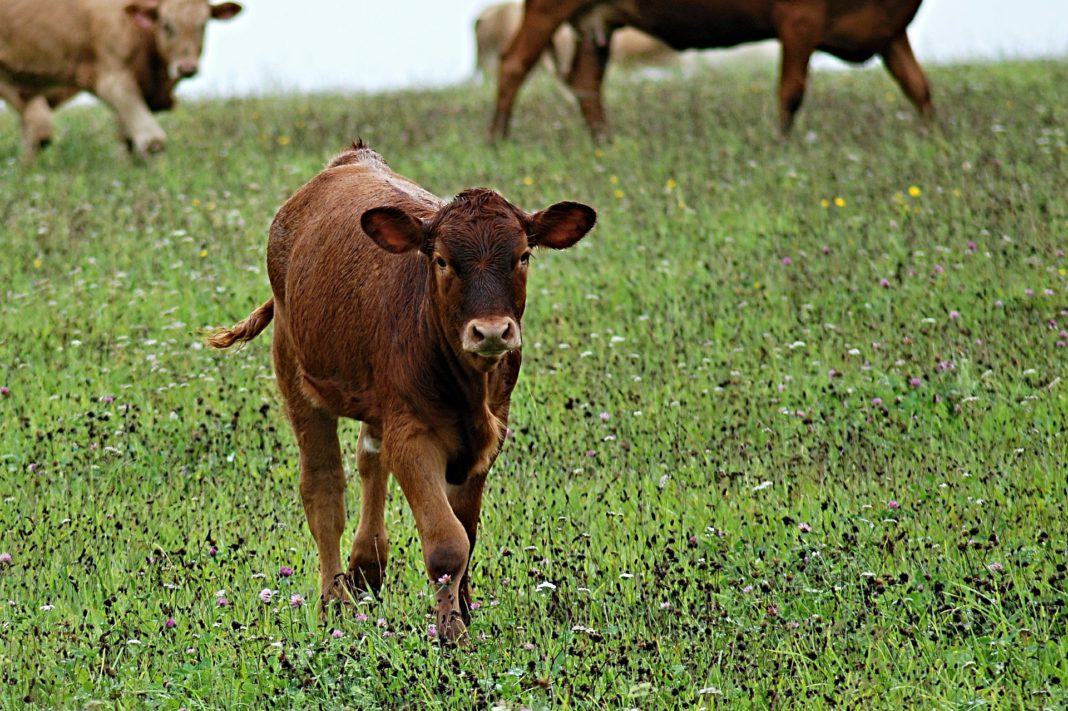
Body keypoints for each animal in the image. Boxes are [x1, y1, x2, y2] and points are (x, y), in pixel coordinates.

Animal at [0, 0, 242, 158]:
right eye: (166, 24)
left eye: (203, 25)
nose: (187, 67)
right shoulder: (113, 80)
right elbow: (152, 140)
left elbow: (128, 140)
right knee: (39, 130)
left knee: (34, 131)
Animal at [209, 142, 596, 642]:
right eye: (442, 260)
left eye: (524, 255)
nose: (492, 331)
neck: (467, 388)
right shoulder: (413, 433)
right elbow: (448, 541)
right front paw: (451, 632)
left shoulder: (490, 433)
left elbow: (467, 530)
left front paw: (464, 609)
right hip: (295, 371)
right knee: (323, 488)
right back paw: (335, 599)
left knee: (370, 459)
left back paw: (366, 567)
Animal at [489, 0, 933, 139]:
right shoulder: (799, 20)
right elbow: (791, 92)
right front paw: (782, 145)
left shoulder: (891, 31)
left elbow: (919, 88)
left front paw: (934, 139)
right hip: (547, 8)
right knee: (514, 64)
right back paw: (497, 139)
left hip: (597, 23)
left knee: (586, 83)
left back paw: (604, 142)